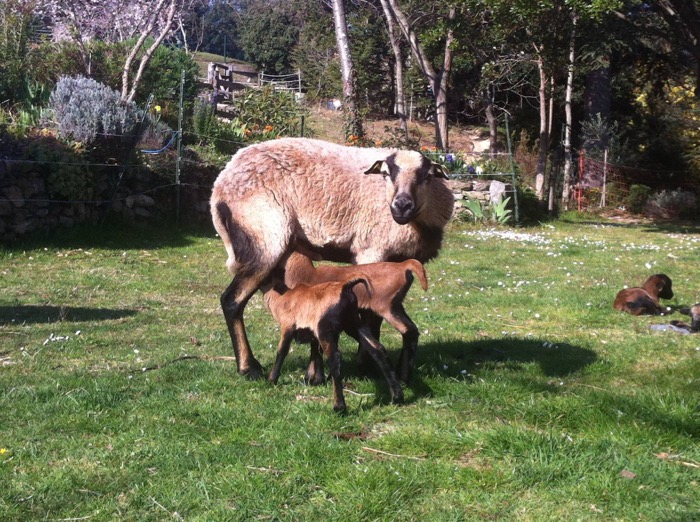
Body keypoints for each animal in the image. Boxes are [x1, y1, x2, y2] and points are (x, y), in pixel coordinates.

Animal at [211, 136, 452, 376]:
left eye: (427, 176)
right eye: (386, 173)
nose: (402, 205)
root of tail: (221, 184)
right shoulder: (371, 250)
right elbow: (370, 314)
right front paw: (365, 363)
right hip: (264, 235)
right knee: (232, 301)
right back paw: (248, 367)